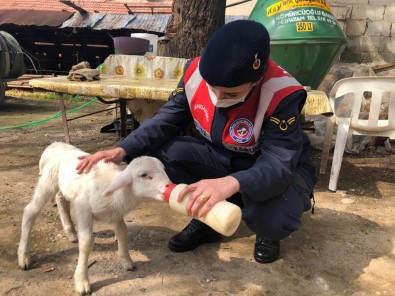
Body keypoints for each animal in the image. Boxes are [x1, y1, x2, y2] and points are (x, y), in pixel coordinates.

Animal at [17, 142, 172, 294]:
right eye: (144, 175)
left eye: (164, 169)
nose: (168, 186)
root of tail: (53, 145)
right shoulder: (82, 209)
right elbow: (86, 242)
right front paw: (82, 281)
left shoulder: (116, 213)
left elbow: (122, 232)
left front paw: (126, 261)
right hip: (47, 183)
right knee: (30, 211)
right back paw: (24, 257)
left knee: (61, 200)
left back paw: (71, 232)